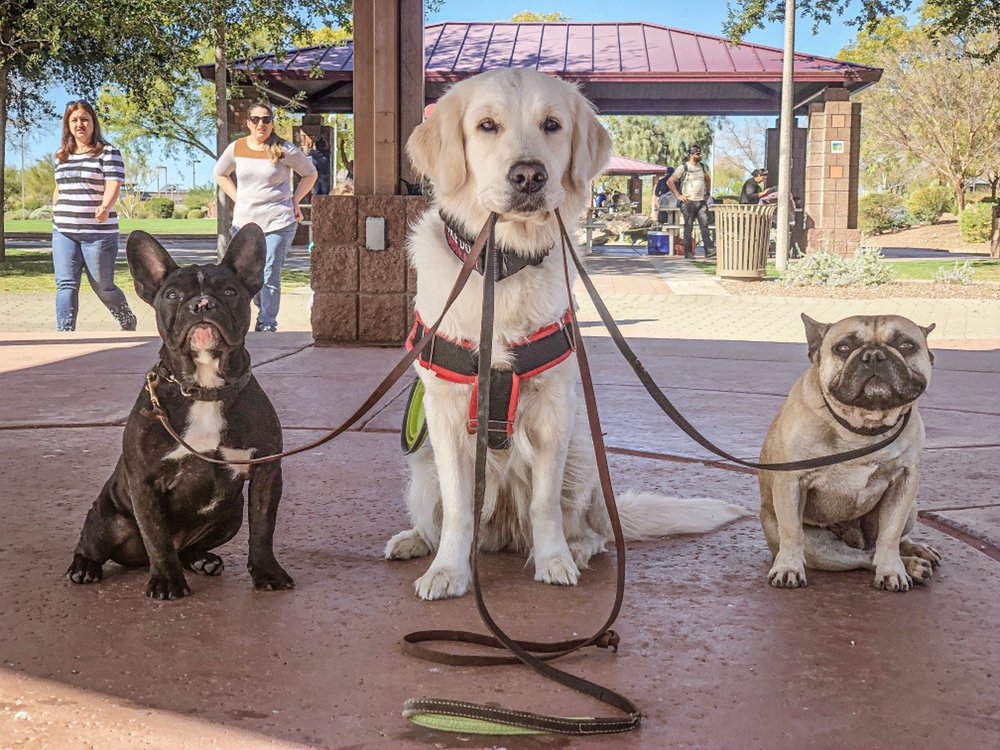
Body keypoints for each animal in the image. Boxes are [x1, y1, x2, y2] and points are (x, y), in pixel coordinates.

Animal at [66, 226, 294, 599]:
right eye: (172, 294)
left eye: (229, 291)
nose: (201, 303)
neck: (204, 389)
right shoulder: (145, 482)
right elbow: (158, 537)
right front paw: (167, 581)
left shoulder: (265, 471)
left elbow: (263, 527)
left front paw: (267, 572)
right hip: (106, 518)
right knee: (93, 544)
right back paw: (84, 567)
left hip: (231, 515)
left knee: (189, 547)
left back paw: (202, 560)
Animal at [384, 68, 747, 600]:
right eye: (487, 125)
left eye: (552, 125)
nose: (529, 175)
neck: (503, 267)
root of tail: (501, 537)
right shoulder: (445, 418)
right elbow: (457, 510)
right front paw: (448, 570)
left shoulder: (555, 412)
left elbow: (545, 504)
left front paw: (554, 560)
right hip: (423, 465)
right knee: (443, 516)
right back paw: (415, 541)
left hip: (583, 457)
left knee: (591, 531)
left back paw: (571, 549)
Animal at [760, 313, 941, 592]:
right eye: (843, 348)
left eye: (906, 345)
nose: (874, 355)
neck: (863, 428)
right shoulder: (791, 481)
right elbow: (791, 531)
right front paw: (788, 567)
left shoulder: (904, 481)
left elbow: (890, 534)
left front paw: (892, 570)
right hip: (820, 549)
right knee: (862, 556)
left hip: (911, 509)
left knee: (883, 545)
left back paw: (914, 555)